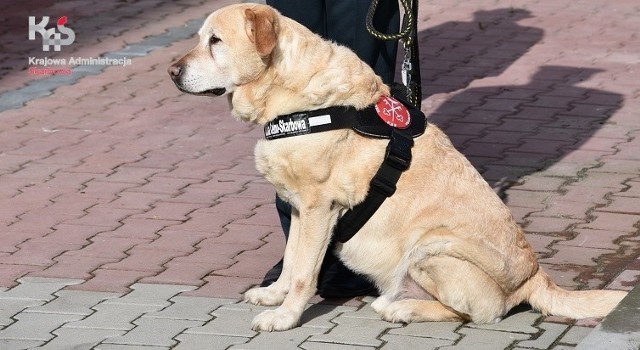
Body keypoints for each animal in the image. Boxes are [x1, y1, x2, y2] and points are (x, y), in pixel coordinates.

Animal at [168, 2, 628, 330]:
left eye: (216, 41)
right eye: (200, 38)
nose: (172, 72)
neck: (293, 95)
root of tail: (536, 277)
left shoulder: (319, 207)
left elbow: (304, 272)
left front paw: (285, 317)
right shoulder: (299, 207)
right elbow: (292, 258)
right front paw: (274, 295)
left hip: (431, 249)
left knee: (474, 314)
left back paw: (402, 310)